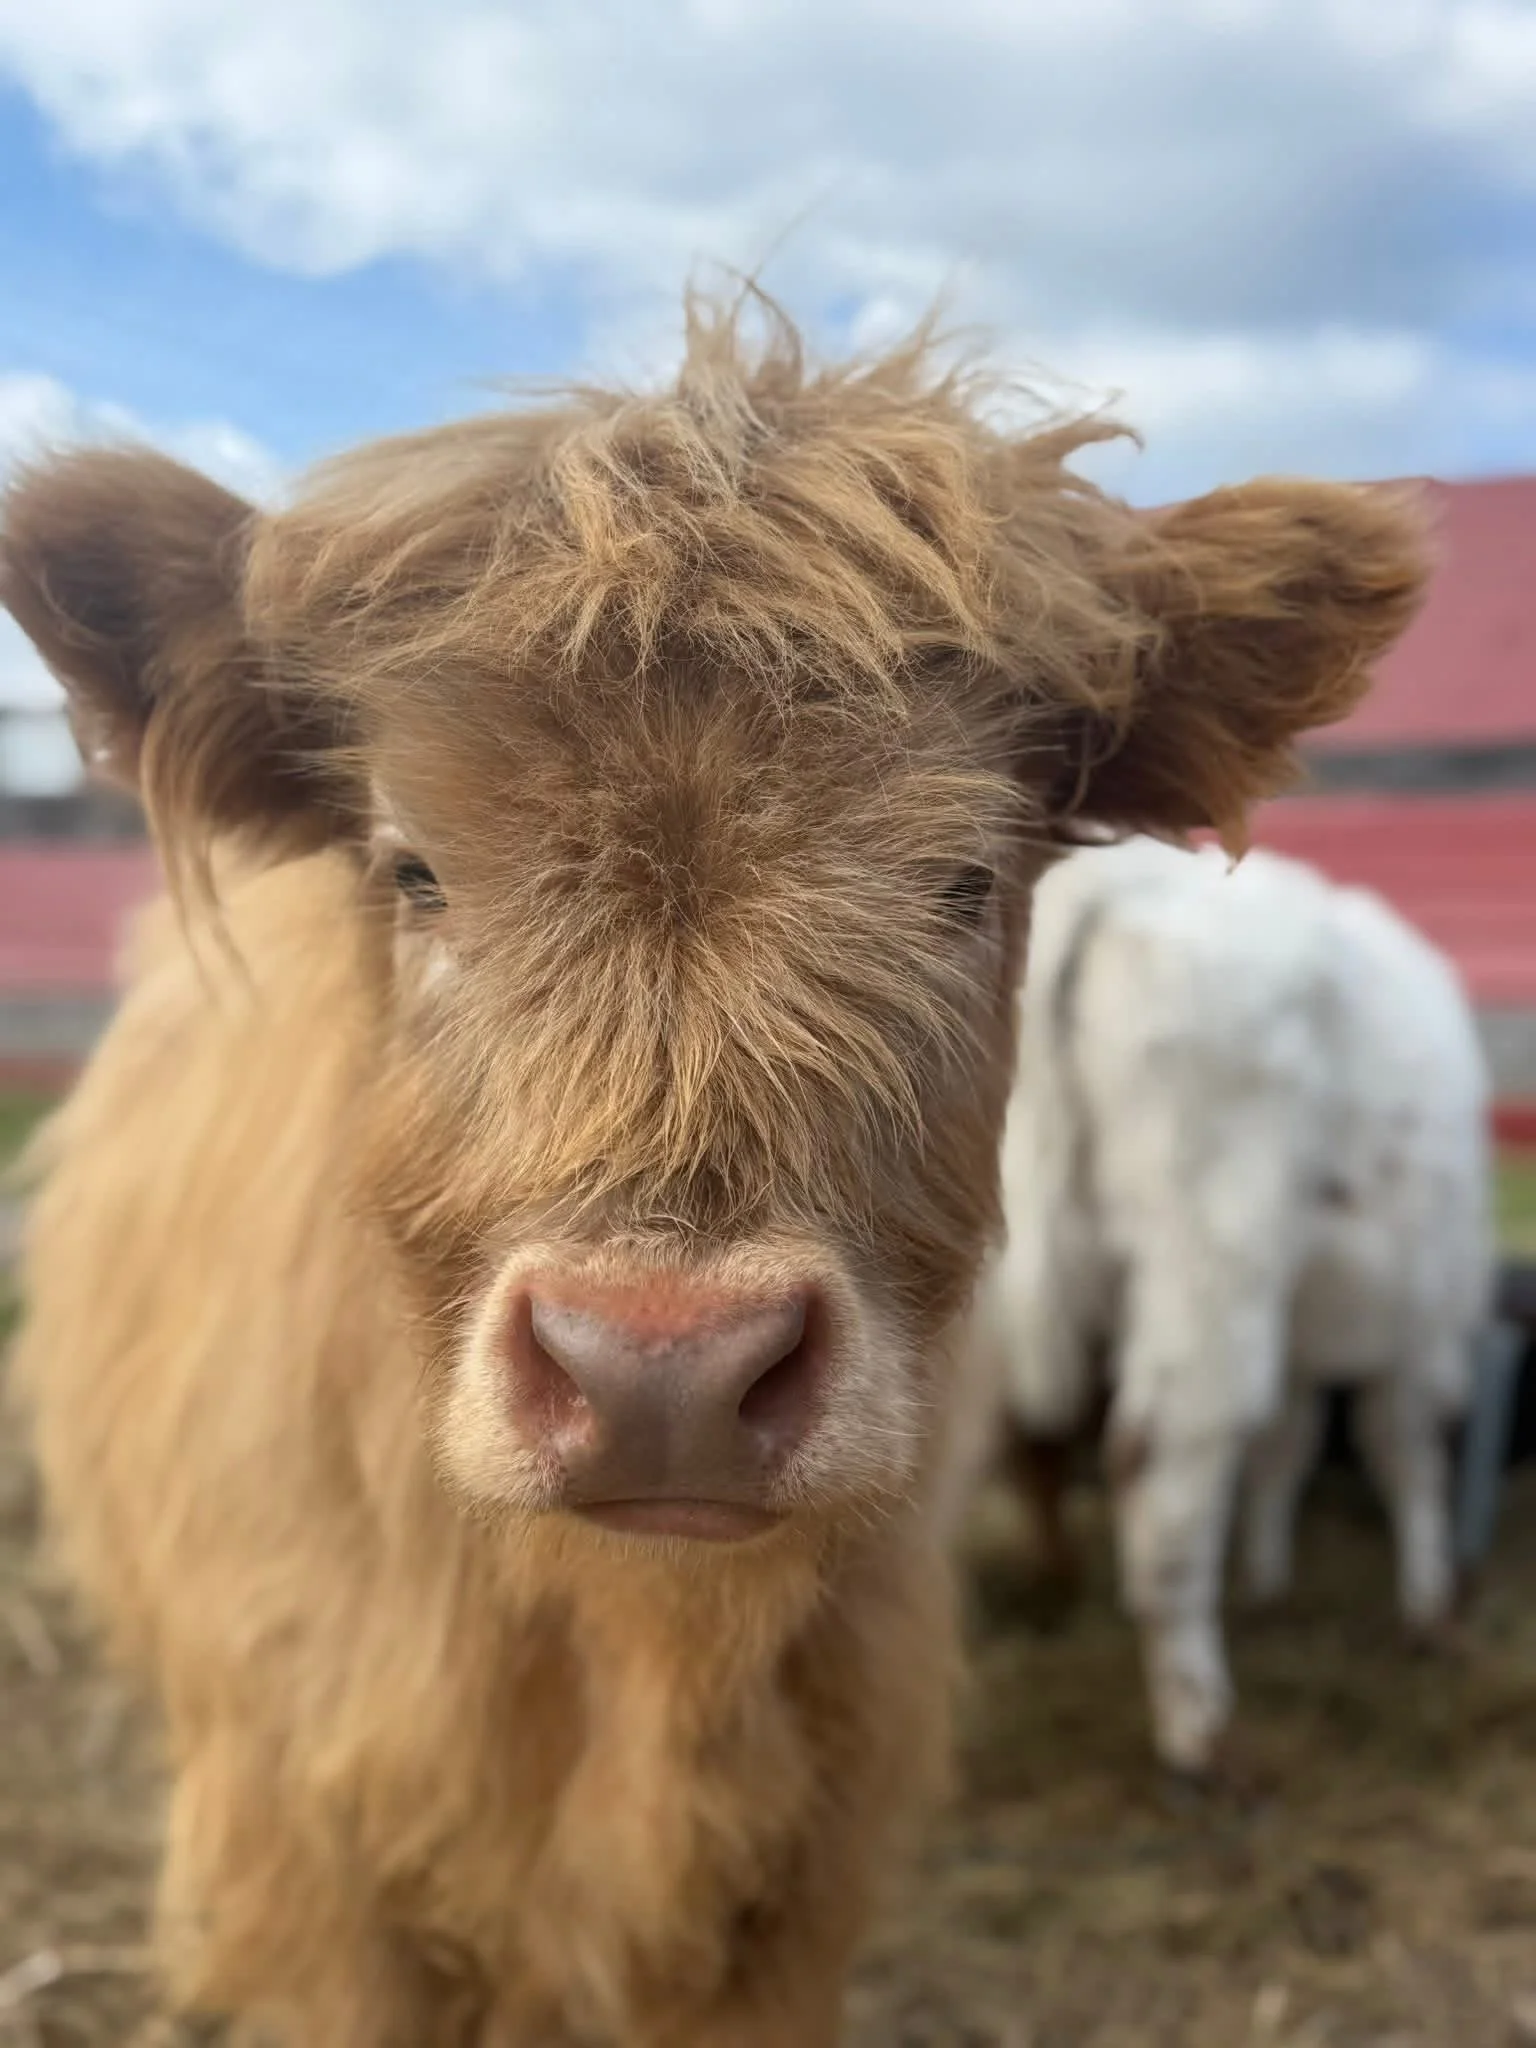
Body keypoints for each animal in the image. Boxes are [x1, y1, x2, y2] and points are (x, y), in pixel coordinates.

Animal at [964, 836, 1493, 1779]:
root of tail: (1098, 888)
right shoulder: (1419, 1332)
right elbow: (1409, 1453)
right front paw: (1429, 1608)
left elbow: (1287, 1443)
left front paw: (1266, 1581)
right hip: (1205, 1265)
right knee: (1159, 1469)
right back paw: (1203, 1736)